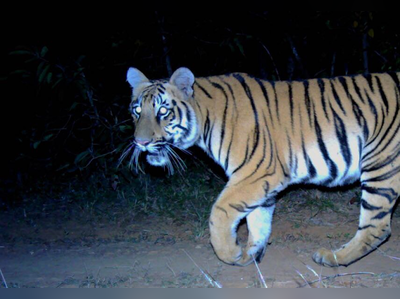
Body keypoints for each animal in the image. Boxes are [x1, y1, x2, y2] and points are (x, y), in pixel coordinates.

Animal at [123, 67, 398, 268]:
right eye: (136, 110)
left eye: (163, 111)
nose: (140, 142)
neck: (204, 118)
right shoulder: (260, 182)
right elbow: (259, 222)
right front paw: (250, 256)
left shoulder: (255, 173)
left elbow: (219, 213)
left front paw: (230, 253)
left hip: (380, 164)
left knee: (377, 227)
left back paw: (333, 258)